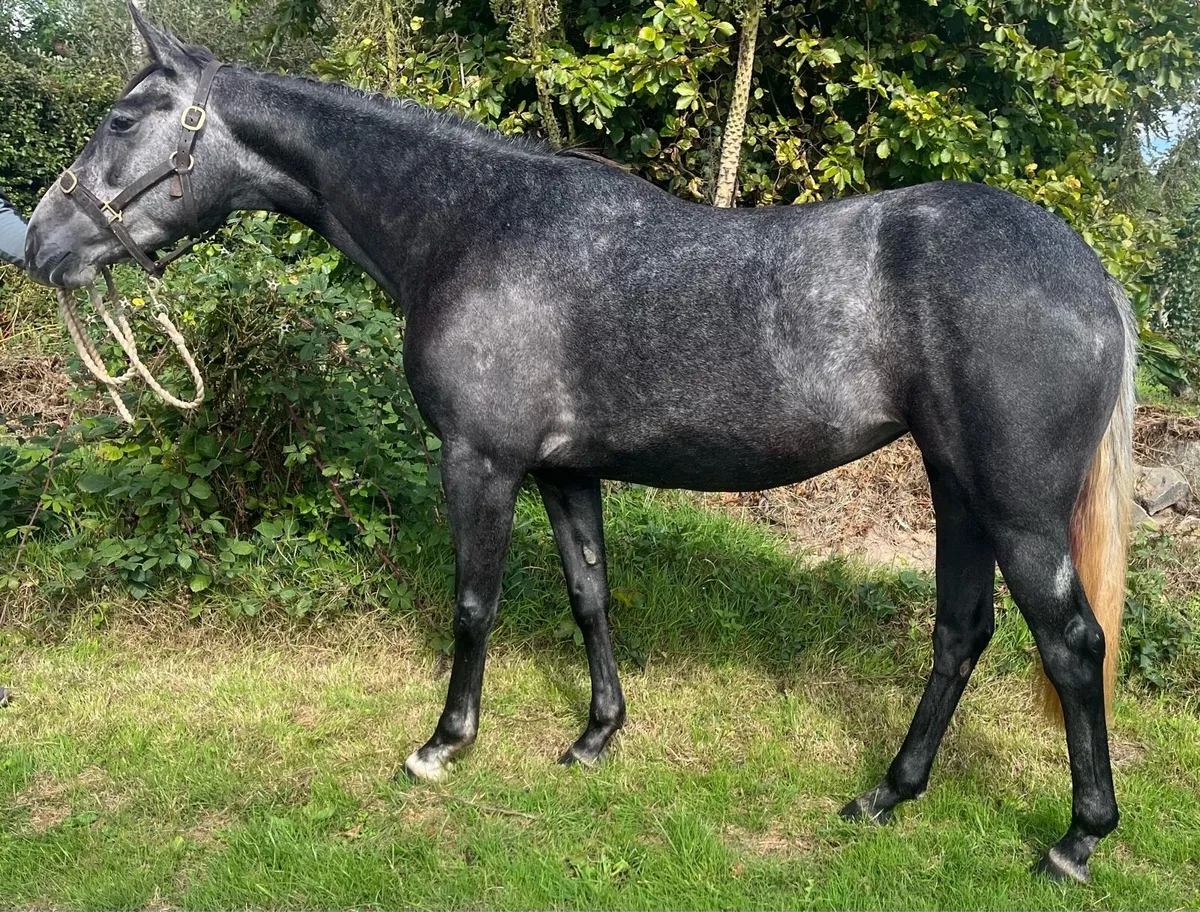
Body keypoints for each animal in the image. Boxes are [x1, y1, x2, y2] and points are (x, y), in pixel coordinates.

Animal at [24, 8, 1135, 884]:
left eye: (123, 120)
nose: (39, 245)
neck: (474, 227)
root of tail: (1088, 274)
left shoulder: (479, 461)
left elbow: (474, 603)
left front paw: (444, 745)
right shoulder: (565, 471)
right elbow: (589, 593)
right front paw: (597, 736)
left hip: (1017, 508)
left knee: (1073, 645)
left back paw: (1076, 841)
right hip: (956, 487)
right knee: (960, 634)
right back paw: (886, 796)